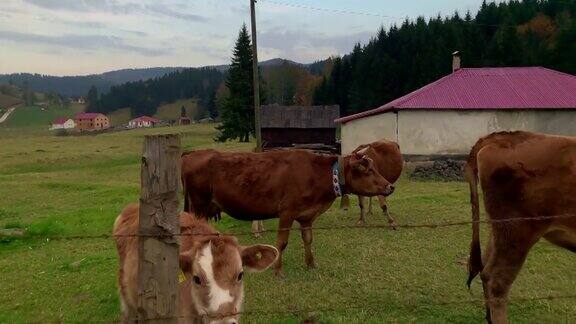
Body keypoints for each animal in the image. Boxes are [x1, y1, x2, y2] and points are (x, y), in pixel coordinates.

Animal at [182, 146, 394, 276]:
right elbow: (281, 243)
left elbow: (308, 239)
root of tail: (192, 154)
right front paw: (278, 271)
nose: (390, 186)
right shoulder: (287, 212)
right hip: (198, 206)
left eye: (375, 168)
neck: (316, 174)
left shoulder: (307, 215)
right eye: (368, 170)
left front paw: (311, 264)